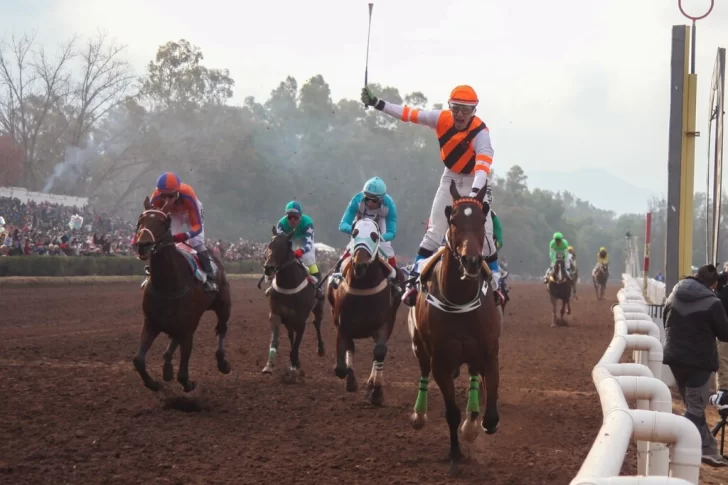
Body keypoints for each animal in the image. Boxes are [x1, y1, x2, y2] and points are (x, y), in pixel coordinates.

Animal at [132, 195, 230, 392]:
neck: (168, 285)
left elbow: (183, 374)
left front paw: (189, 383)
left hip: (223, 304)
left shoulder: (188, 327)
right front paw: (153, 383)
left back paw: (222, 361)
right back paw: (167, 366)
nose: (143, 245)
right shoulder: (151, 322)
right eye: (141, 220)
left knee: (221, 328)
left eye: (163, 223)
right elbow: (138, 360)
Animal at [258, 227, 322, 382]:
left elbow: (296, 346)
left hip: (318, 308)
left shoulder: (301, 321)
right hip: (289, 321)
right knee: (290, 334)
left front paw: (293, 369)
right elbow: (275, 340)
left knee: (317, 324)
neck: (288, 286)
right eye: (270, 245)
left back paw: (320, 349)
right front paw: (269, 365)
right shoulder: (276, 314)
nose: (268, 268)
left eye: (284, 247)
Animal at [328, 217, 404, 402]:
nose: (360, 265)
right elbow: (341, 366)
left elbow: (379, 351)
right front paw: (350, 380)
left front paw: (375, 391)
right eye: (354, 233)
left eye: (374, 236)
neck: (362, 287)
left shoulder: (384, 323)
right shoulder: (342, 324)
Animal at [406, 180, 504, 474]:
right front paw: (455, 453)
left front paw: (477, 425)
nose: (471, 260)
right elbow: (451, 411)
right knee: (423, 372)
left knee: (472, 377)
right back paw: (419, 415)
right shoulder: (440, 360)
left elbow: (490, 411)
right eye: (453, 220)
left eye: (482, 218)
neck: (459, 299)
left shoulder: (489, 353)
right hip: (420, 347)